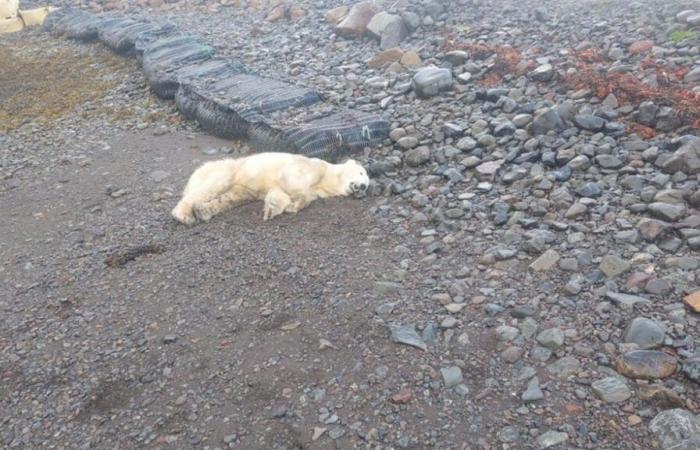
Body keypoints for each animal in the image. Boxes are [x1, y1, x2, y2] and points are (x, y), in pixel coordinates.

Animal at [172, 152, 372, 224]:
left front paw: (273, 209)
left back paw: (203, 211)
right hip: (226, 170)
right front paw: (295, 203)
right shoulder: (312, 167)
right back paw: (183, 215)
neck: (327, 178)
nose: (362, 187)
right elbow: (291, 179)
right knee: (212, 186)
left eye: (367, 185)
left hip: (240, 187)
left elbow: (278, 193)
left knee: (232, 197)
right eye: (362, 173)